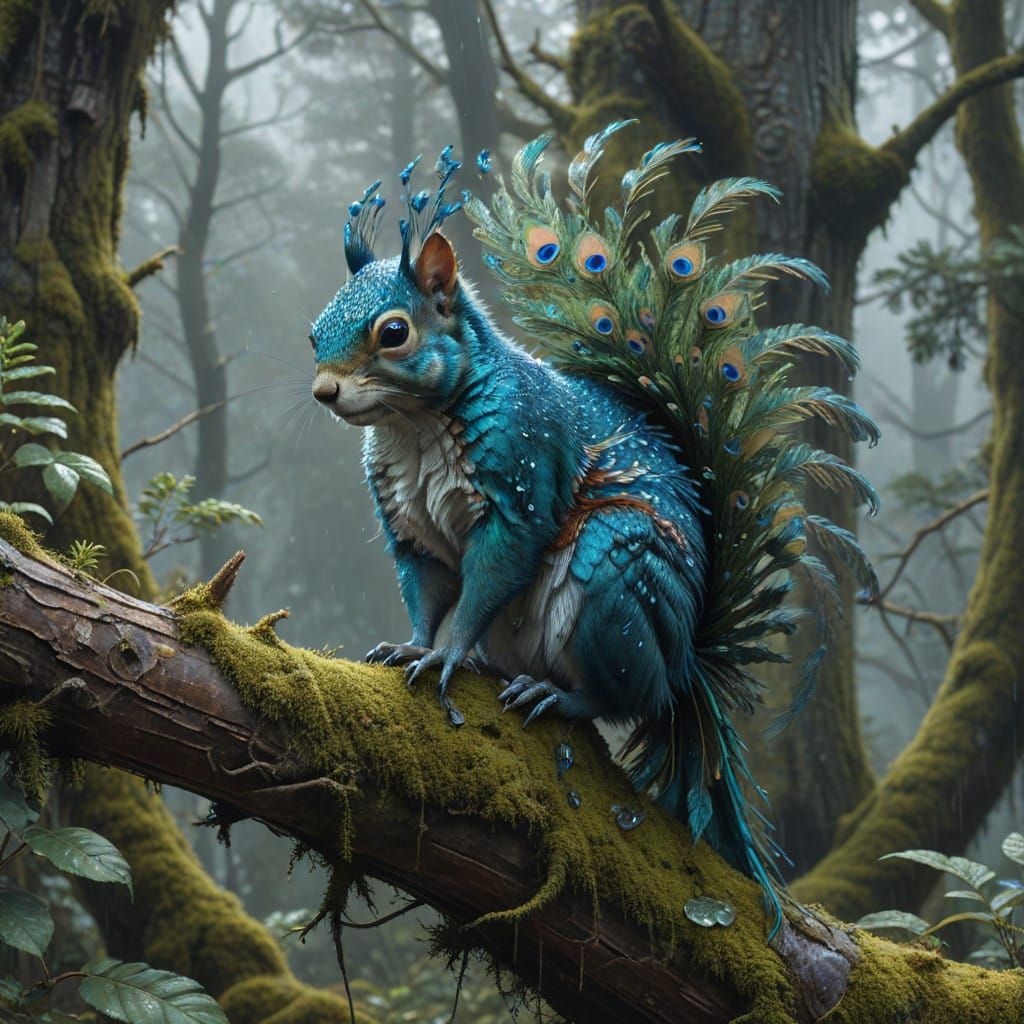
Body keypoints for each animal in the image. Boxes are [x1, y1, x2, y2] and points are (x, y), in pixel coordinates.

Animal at [309, 123, 879, 935]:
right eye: (313, 332)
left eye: (394, 333)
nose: (324, 391)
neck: (414, 426)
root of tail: (685, 662)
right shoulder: (407, 527)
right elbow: (427, 588)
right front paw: (413, 646)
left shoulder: (520, 489)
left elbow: (483, 582)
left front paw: (447, 656)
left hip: (614, 572)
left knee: (623, 699)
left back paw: (559, 698)